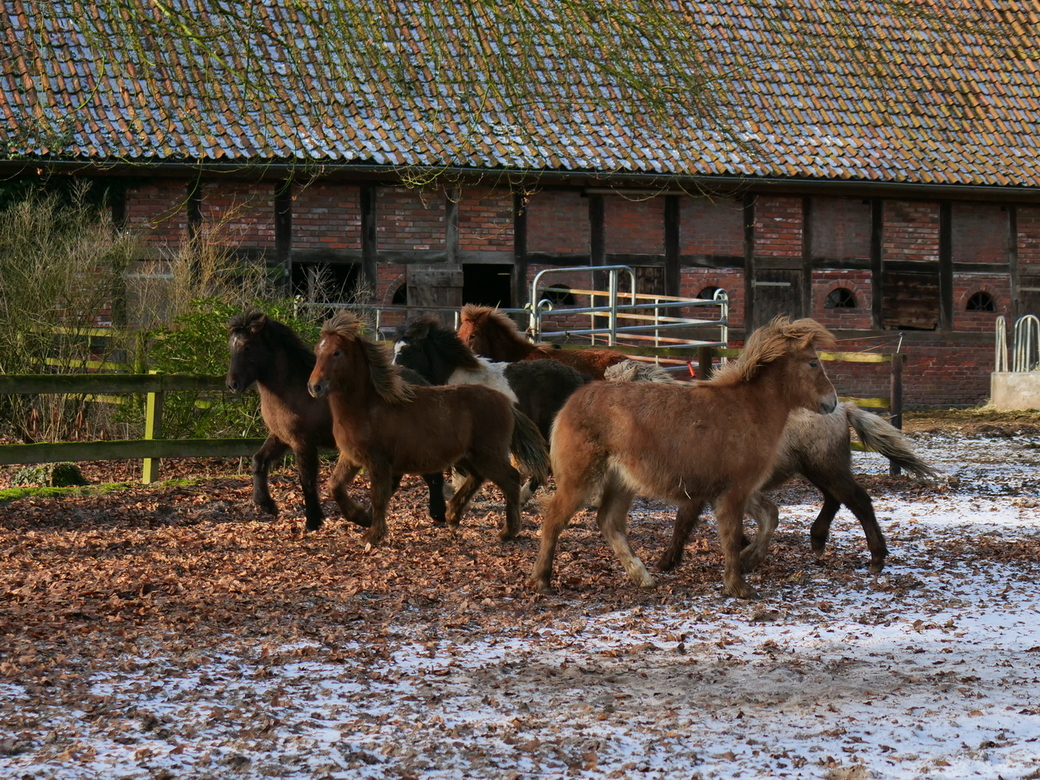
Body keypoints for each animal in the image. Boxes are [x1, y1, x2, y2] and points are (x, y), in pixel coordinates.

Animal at [225, 314, 445, 536]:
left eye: (247, 347)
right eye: (231, 346)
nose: (232, 384)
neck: (292, 390)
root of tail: (425, 383)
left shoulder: (303, 442)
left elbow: (307, 480)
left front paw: (313, 521)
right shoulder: (280, 437)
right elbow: (258, 461)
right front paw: (266, 505)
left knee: (429, 473)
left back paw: (437, 514)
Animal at [307, 312, 553, 549]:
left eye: (336, 353)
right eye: (318, 350)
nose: (314, 386)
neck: (369, 406)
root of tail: (508, 404)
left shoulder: (378, 462)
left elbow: (378, 497)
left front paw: (372, 535)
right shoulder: (351, 457)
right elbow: (335, 486)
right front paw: (360, 518)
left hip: (487, 454)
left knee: (510, 479)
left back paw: (507, 532)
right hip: (467, 456)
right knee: (477, 477)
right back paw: (453, 515)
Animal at [532, 316, 840, 599]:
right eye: (813, 363)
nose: (832, 402)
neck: (748, 409)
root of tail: (570, 405)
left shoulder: (736, 489)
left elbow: (770, 517)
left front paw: (749, 560)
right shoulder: (734, 492)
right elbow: (731, 535)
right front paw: (738, 585)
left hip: (620, 482)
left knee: (609, 522)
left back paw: (643, 577)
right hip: (580, 480)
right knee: (554, 519)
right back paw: (542, 580)